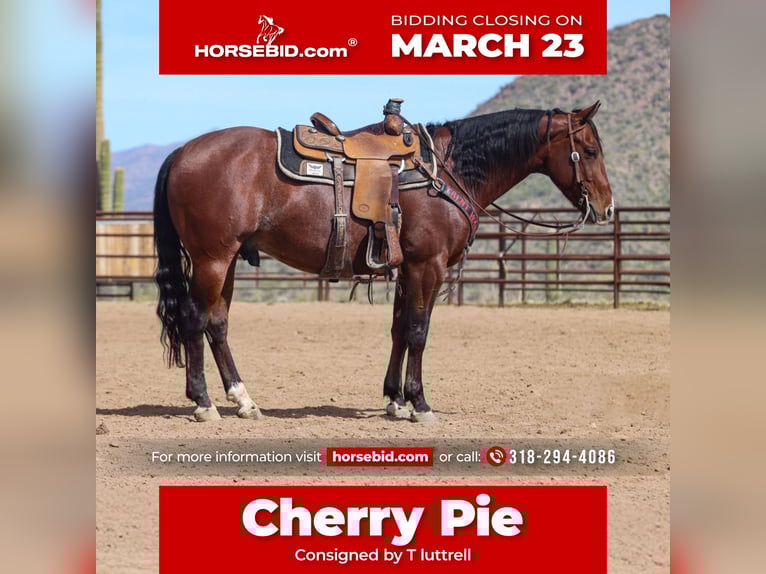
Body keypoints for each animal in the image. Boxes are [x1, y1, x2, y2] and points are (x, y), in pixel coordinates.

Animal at [153, 101, 613, 422]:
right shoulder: (429, 265)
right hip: (212, 259)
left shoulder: (408, 269)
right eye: (589, 150)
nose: (606, 208)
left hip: (227, 260)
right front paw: (420, 404)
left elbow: (398, 331)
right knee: (195, 320)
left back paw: (244, 400)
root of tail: (182, 152)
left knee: (217, 324)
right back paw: (204, 403)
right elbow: (418, 331)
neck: (445, 172)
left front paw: (395, 399)